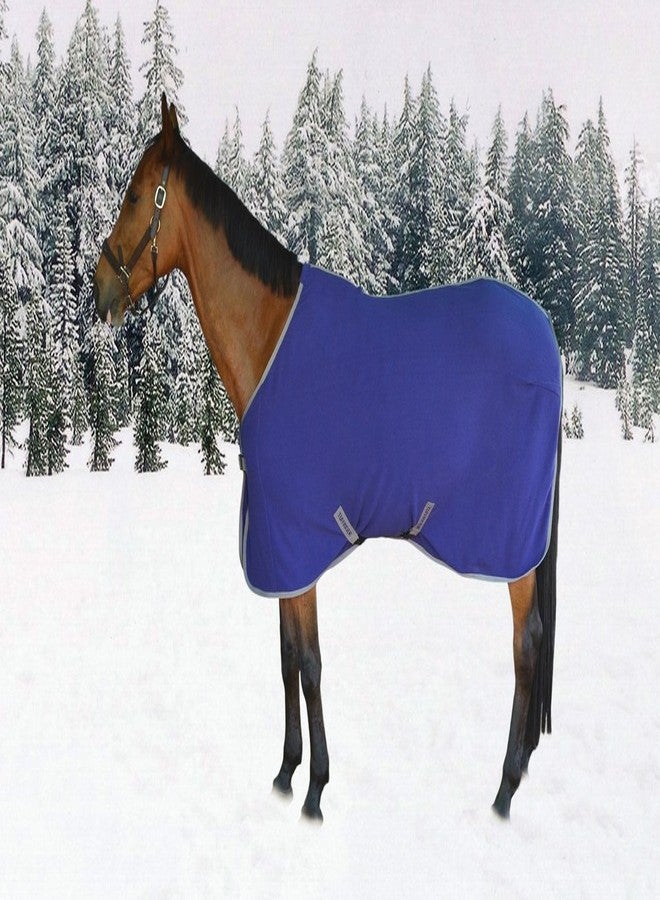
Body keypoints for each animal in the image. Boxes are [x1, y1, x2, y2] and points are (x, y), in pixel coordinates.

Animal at [93, 94, 562, 822]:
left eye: (138, 194)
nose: (98, 289)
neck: (268, 337)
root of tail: (547, 337)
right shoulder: (280, 545)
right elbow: (287, 656)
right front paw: (287, 772)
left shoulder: (297, 537)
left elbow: (309, 662)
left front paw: (315, 789)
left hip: (511, 545)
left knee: (527, 643)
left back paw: (505, 789)